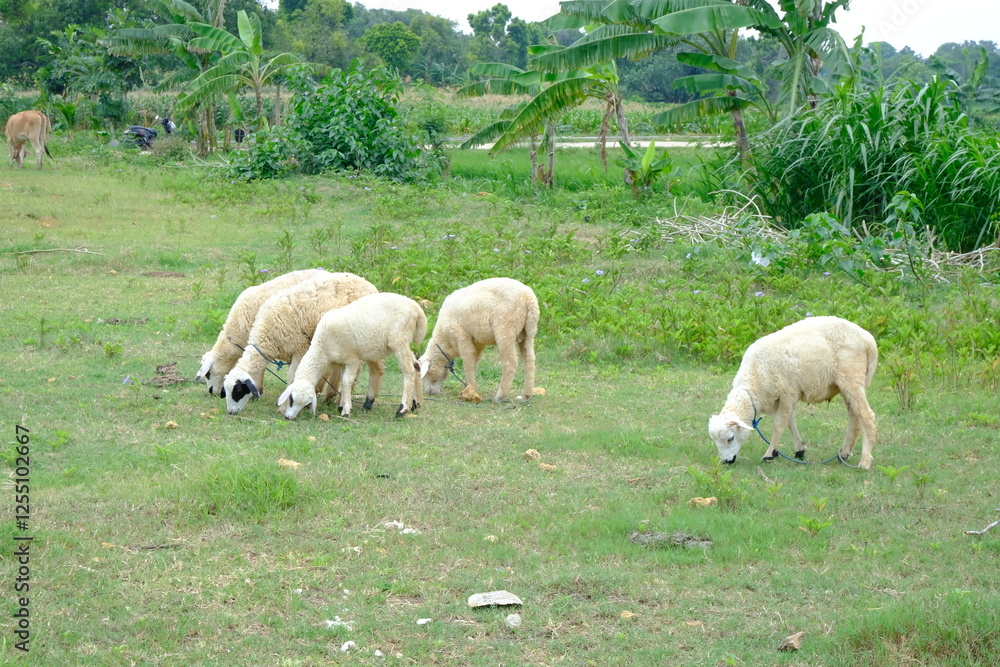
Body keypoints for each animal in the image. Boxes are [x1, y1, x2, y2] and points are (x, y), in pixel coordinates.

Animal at [223, 272, 379, 415]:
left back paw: (344, 402)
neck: (266, 335)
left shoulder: (300, 348)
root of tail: (370, 285)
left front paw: (284, 407)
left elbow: (292, 377)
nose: (231, 412)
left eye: (238, 390)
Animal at [277, 293, 428, 420]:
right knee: (417, 366)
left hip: (399, 340)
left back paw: (402, 409)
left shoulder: (353, 359)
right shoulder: (342, 361)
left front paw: (346, 410)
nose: (289, 418)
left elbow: (346, 381)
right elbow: (344, 382)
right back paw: (416, 403)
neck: (322, 347)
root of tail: (417, 309)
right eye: (291, 399)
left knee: (409, 371)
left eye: (304, 403)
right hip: (401, 342)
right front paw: (342, 405)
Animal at [708, 316, 878, 470]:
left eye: (730, 438)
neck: (754, 382)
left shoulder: (787, 393)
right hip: (845, 384)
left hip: (851, 376)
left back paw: (864, 462)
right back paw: (844, 453)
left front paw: (769, 454)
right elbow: (790, 422)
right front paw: (799, 450)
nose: (726, 461)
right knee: (854, 416)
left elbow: (778, 425)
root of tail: (868, 340)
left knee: (866, 415)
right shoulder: (784, 397)